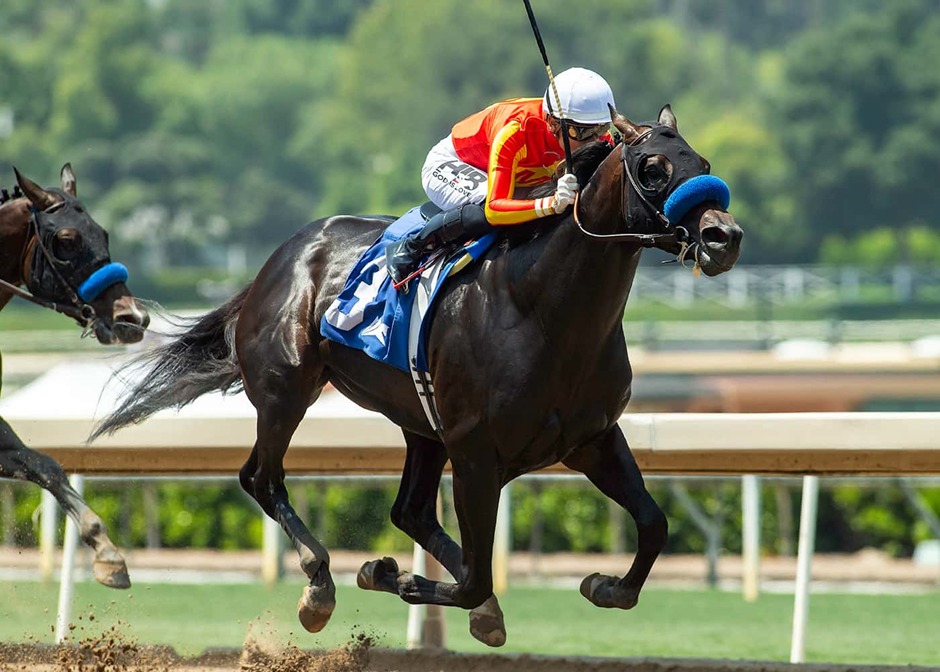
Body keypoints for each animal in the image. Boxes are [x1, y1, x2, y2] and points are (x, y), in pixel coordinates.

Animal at [95, 105, 743, 644]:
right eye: (653, 168)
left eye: (705, 165)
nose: (724, 237)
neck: (542, 310)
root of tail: (274, 263)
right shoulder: (477, 454)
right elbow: (476, 577)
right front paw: (393, 576)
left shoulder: (592, 438)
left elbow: (653, 525)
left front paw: (605, 585)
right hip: (286, 392)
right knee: (263, 478)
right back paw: (320, 585)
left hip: (420, 423)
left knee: (409, 511)